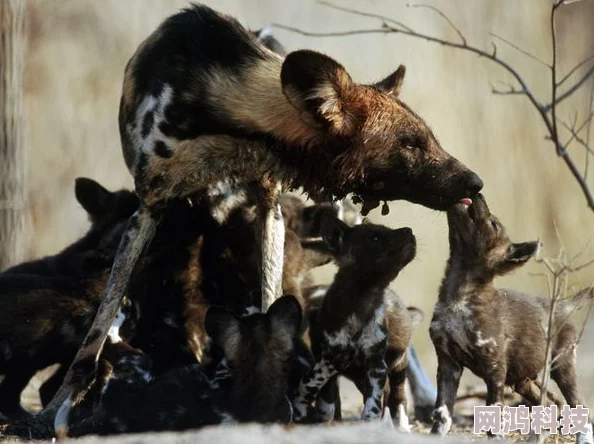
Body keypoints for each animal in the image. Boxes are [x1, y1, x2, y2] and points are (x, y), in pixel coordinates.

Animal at [290, 215, 414, 424]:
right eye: (375, 238)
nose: (409, 230)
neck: (361, 304)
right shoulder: (327, 360)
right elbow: (322, 398)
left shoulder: (376, 366)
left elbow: (373, 404)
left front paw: (369, 421)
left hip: (397, 367)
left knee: (397, 399)